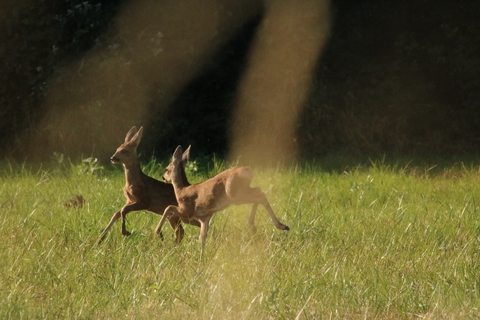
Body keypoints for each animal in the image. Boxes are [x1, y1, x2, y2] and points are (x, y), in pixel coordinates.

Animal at [157, 145, 288, 248]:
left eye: (167, 169)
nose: (163, 177)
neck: (181, 190)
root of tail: (248, 170)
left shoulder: (187, 211)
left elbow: (168, 207)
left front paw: (157, 231)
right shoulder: (205, 217)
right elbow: (202, 238)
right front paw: (202, 258)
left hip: (235, 194)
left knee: (260, 195)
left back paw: (273, 225)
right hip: (243, 190)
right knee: (259, 191)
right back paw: (271, 226)